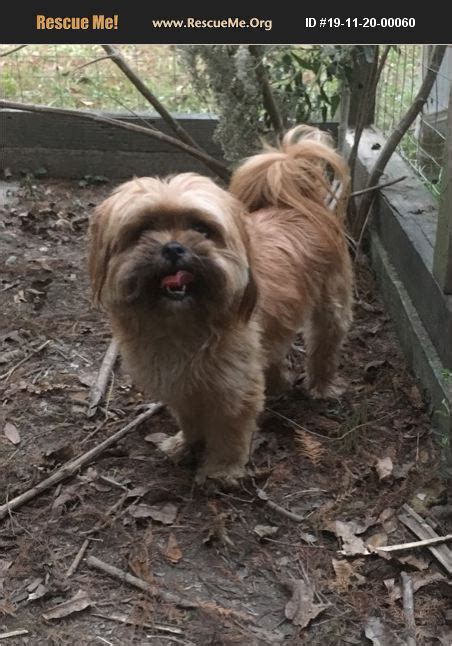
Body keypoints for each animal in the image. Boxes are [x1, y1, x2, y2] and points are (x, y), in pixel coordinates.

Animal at [87, 125, 350, 486]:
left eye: (200, 227)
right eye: (143, 229)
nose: (173, 247)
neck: (182, 325)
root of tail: (297, 205)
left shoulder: (232, 389)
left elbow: (228, 431)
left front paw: (220, 470)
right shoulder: (181, 386)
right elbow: (190, 420)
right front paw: (186, 445)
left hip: (330, 307)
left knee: (325, 344)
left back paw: (321, 385)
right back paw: (278, 384)